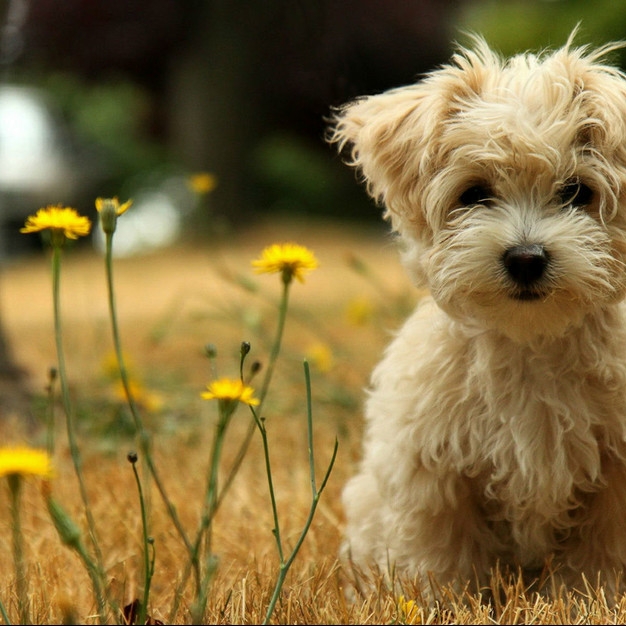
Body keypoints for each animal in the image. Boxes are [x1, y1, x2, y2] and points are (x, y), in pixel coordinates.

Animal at [330, 35, 626, 596]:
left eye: (577, 192)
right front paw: (439, 602)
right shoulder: (432, 466)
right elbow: (442, 553)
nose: (526, 258)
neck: (530, 342)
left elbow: (600, 552)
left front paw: (586, 597)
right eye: (474, 194)